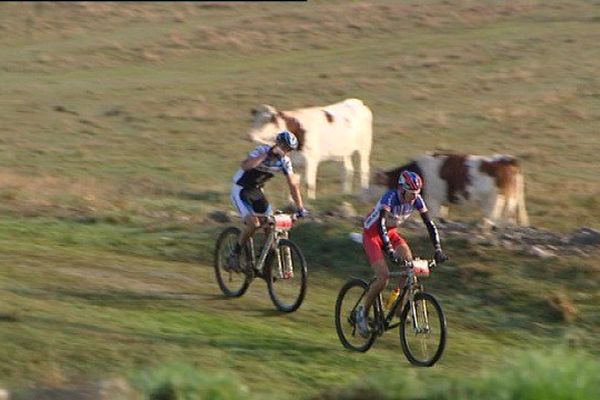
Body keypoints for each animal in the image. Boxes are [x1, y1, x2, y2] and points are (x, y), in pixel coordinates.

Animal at [376, 152, 528, 230]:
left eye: (374, 182)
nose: (362, 195)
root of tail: (507, 160)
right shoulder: (441, 201)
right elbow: (441, 216)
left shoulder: (432, 200)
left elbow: (431, 217)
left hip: (496, 203)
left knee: (493, 221)